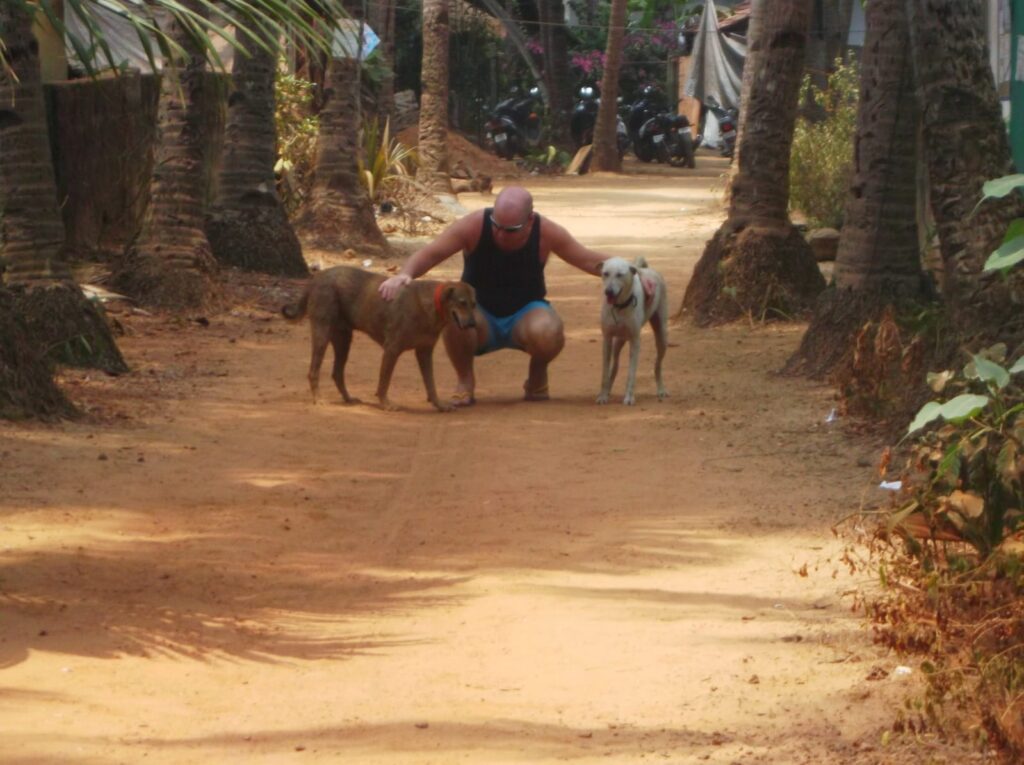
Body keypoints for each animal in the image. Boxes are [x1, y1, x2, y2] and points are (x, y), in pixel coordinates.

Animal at [282, 265, 476, 412]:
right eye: (462, 302)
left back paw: (348, 398)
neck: (431, 307)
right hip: (322, 334)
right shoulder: (392, 350)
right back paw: (319, 400)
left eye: (474, 304)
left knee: (337, 373)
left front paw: (439, 404)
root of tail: (318, 277)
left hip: (343, 341)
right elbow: (384, 382)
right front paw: (386, 404)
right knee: (313, 372)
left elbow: (431, 384)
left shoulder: (424, 353)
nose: (473, 324)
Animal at [596, 256, 668, 406]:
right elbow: (605, 372)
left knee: (657, 365)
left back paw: (661, 389)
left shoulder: (635, 342)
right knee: (615, 365)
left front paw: (629, 397)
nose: (608, 291)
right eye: (605, 273)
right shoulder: (607, 339)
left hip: (662, 337)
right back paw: (609, 387)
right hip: (619, 340)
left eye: (620, 275)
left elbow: (631, 373)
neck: (619, 307)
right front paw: (603, 396)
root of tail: (649, 270)